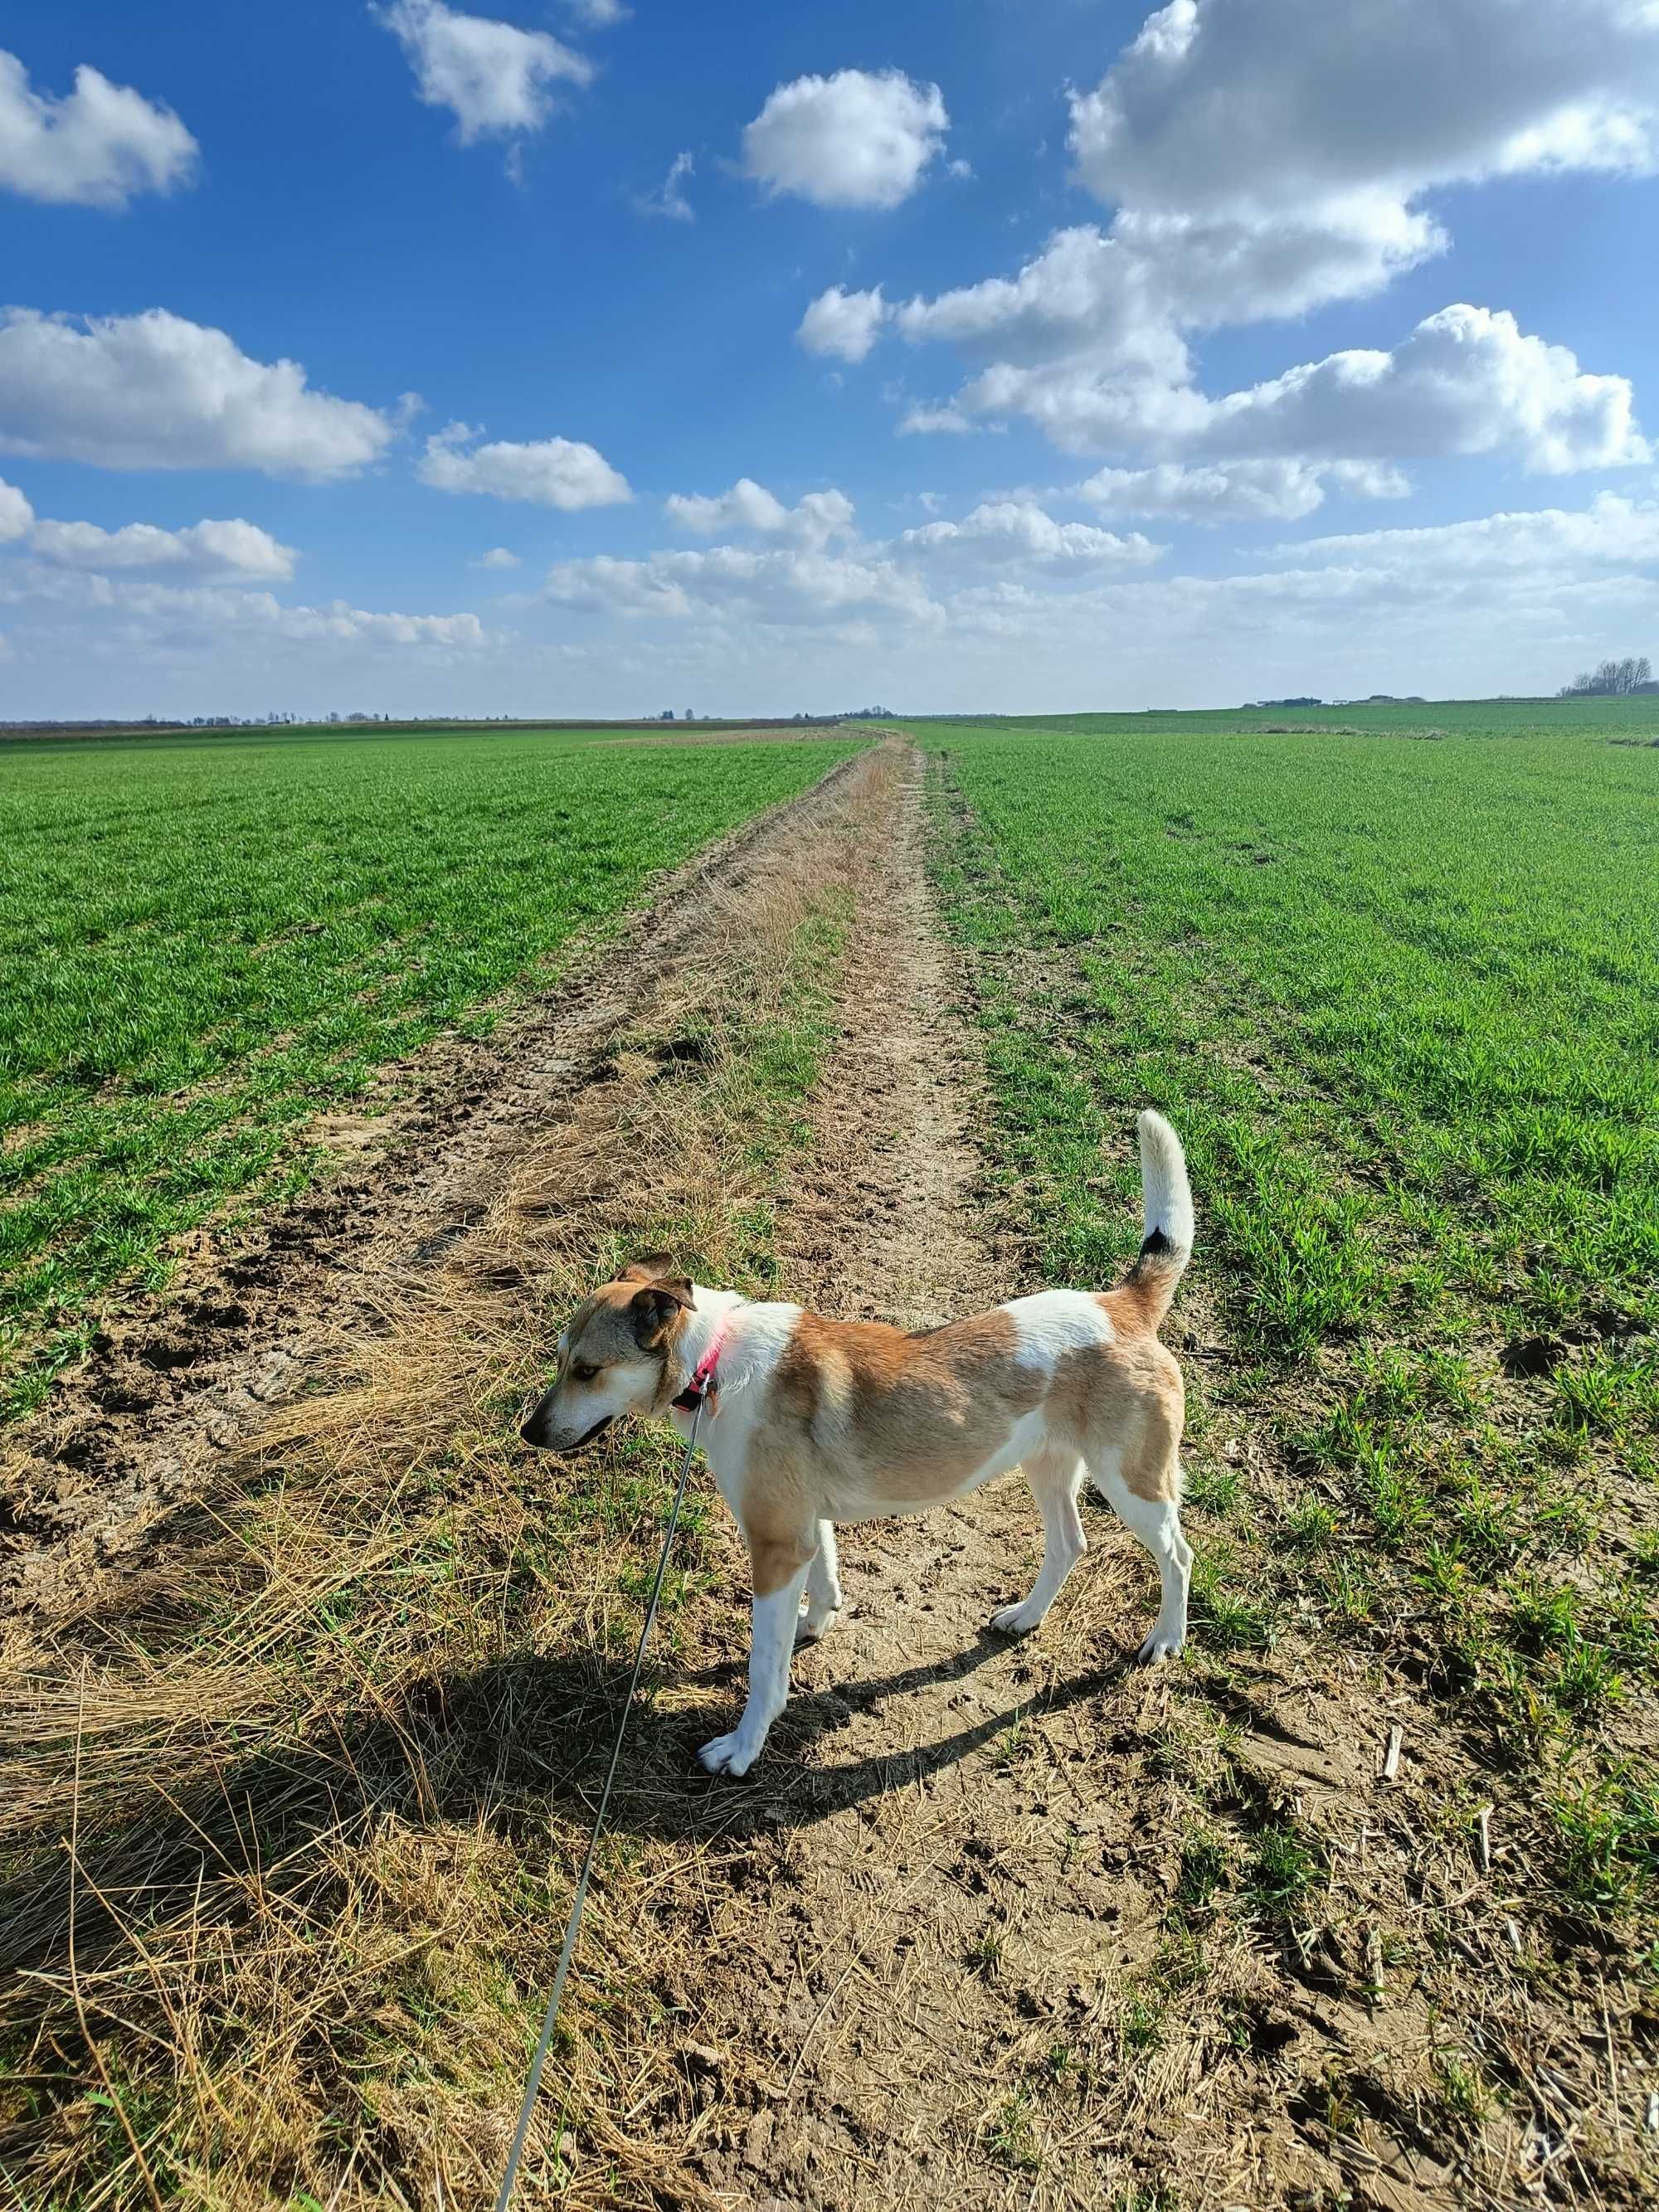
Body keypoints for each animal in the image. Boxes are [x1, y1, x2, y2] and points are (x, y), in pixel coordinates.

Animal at [519, 1106, 1194, 1778]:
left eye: (588, 1371)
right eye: (560, 1359)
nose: (529, 1432)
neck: (712, 1360)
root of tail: (1122, 1305)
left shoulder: (774, 1545)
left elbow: (764, 1670)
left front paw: (743, 1746)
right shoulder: (805, 1525)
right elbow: (825, 1578)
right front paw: (813, 1624)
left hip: (1134, 1486)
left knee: (1178, 1555)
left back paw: (1165, 1639)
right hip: (1049, 1467)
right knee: (1069, 1544)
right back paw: (1026, 1617)